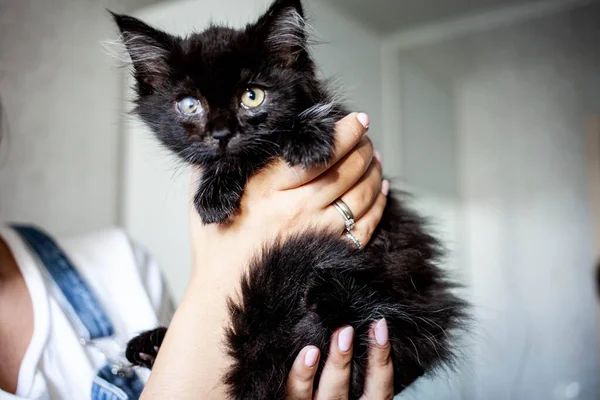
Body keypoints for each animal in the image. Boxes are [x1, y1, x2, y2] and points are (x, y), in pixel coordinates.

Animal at [112, 1, 468, 398]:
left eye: (252, 96)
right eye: (190, 105)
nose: (222, 134)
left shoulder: (337, 115)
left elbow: (277, 136)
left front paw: (305, 136)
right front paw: (214, 192)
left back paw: (325, 293)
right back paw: (152, 344)